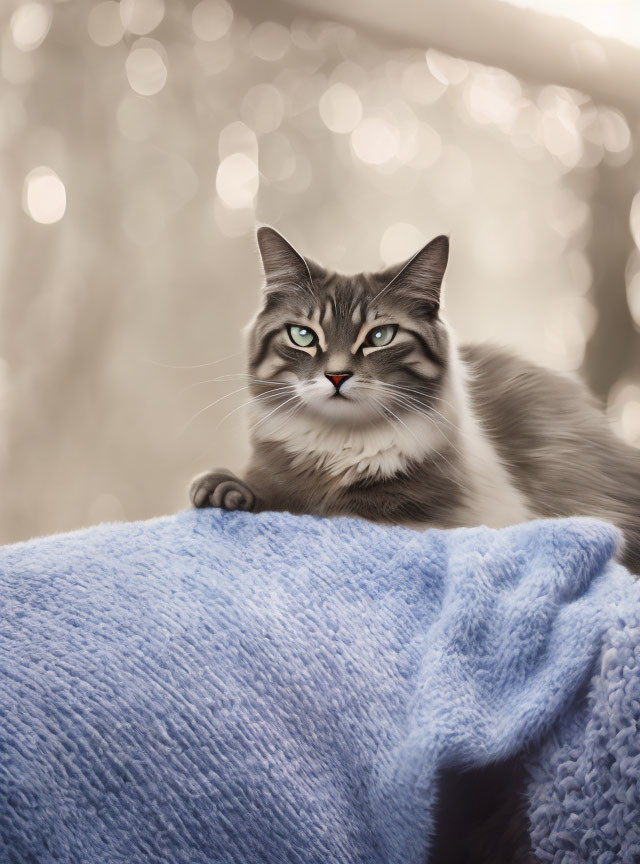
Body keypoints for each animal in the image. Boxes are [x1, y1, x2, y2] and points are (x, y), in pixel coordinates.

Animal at [189, 226, 640, 572]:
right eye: (303, 335)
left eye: (379, 337)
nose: (336, 375)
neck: (340, 444)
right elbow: (266, 492)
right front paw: (221, 491)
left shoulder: (431, 516)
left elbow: (335, 511)